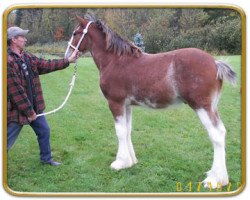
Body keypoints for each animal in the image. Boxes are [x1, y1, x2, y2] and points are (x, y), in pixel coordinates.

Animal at [65, 14, 236, 188]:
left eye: (75, 33)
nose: (68, 55)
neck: (115, 60)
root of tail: (215, 63)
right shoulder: (127, 105)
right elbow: (127, 130)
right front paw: (131, 161)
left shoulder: (115, 103)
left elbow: (120, 131)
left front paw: (120, 163)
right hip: (211, 107)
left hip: (202, 106)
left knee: (216, 134)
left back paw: (215, 179)